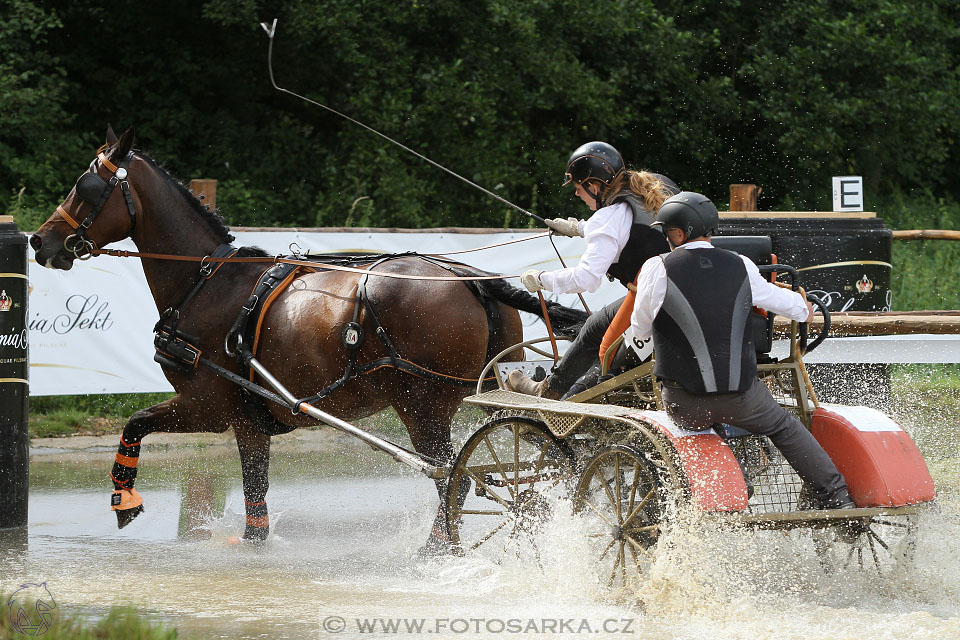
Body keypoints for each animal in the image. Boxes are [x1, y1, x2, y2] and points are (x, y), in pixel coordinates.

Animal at [30, 127, 584, 548]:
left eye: (86, 186)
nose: (41, 241)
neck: (207, 281)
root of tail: (469, 278)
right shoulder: (247, 419)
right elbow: (254, 500)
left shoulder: (211, 406)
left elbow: (137, 423)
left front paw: (123, 500)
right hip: (483, 395)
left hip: (422, 406)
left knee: (455, 478)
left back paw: (437, 548)